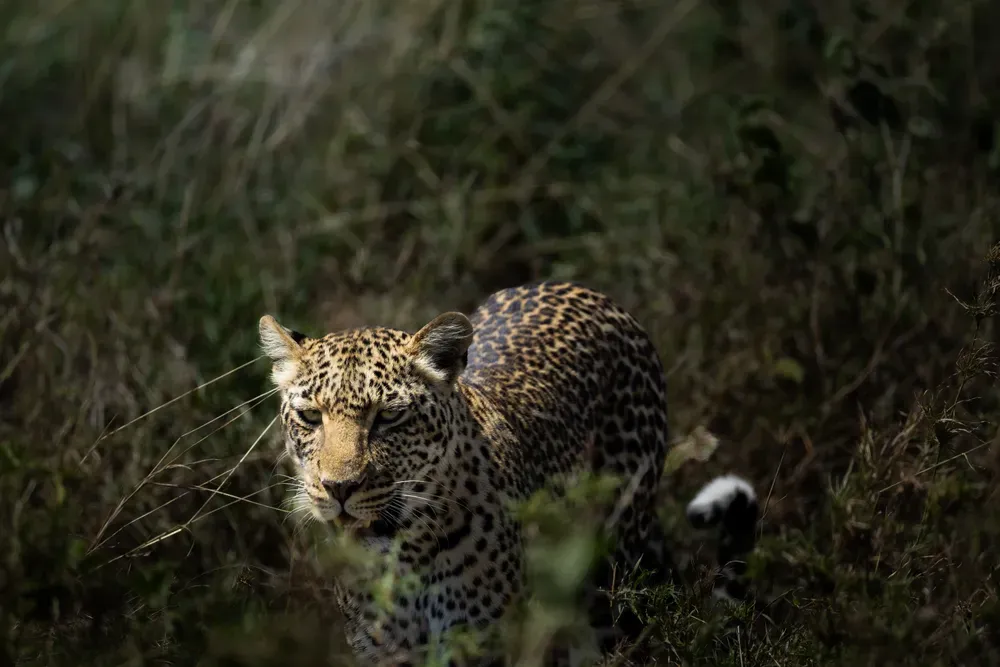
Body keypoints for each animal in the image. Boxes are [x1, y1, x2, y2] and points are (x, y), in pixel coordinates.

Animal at [259, 281, 759, 666]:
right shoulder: (380, 650)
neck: (398, 553)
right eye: (310, 417)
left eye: (388, 417)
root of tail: (584, 289)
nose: (338, 488)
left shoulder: (479, 644)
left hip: (613, 566)